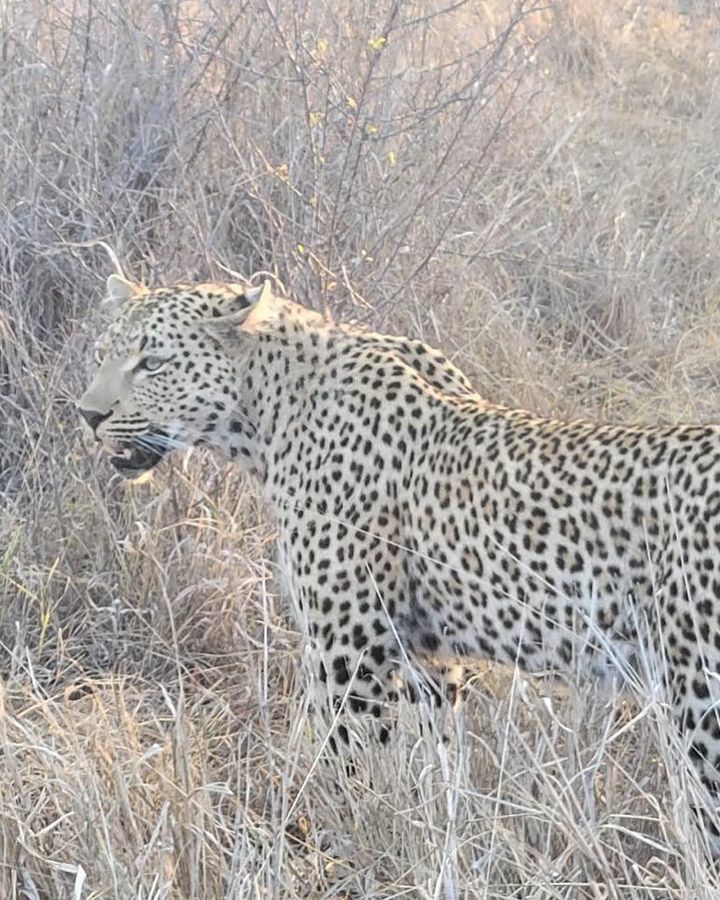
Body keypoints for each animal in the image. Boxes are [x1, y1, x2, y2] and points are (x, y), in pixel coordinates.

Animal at [80, 272, 720, 852]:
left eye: (154, 362)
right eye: (103, 354)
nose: (87, 414)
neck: (265, 416)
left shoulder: (350, 651)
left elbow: (351, 768)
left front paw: (352, 849)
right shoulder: (427, 659)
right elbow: (437, 769)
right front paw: (442, 838)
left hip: (698, 694)